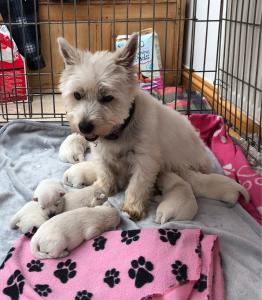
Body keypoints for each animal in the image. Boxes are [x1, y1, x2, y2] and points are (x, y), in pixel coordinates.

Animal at [58, 34, 249, 220]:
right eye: (77, 95)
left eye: (107, 98)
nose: (84, 126)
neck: (119, 131)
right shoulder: (101, 153)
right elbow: (105, 171)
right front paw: (105, 187)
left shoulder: (145, 159)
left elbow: (137, 184)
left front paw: (133, 208)